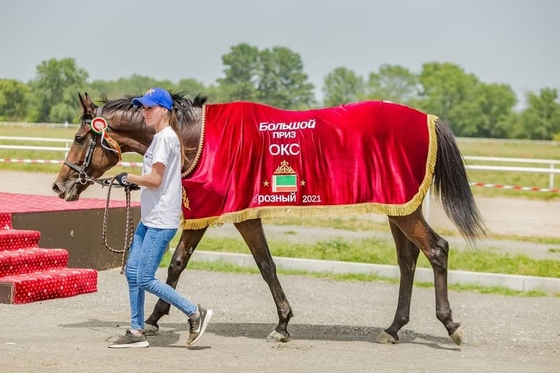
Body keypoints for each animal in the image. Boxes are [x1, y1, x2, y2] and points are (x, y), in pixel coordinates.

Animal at [52, 91, 486, 344]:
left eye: (79, 138)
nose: (60, 187)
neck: (197, 135)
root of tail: (428, 119)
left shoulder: (242, 214)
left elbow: (265, 265)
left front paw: (282, 324)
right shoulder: (206, 213)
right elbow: (177, 262)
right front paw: (159, 317)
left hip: (406, 212)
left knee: (436, 250)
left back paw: (450, 325)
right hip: (399, 208)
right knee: (408, 260)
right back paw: (394, 328)